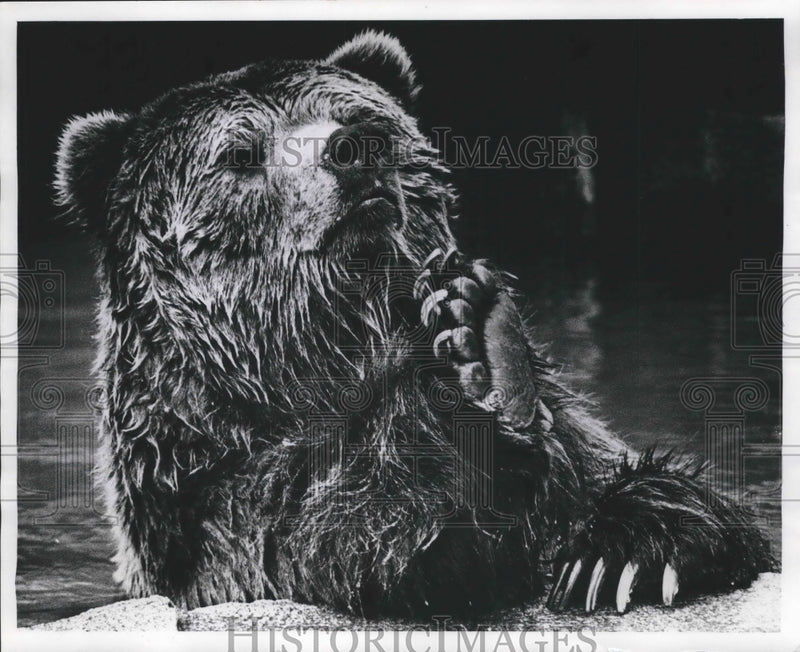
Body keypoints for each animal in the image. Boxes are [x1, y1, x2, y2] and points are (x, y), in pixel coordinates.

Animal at [53, 30, 772, 620]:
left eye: (361, 117)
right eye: (240, 154)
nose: (350, 149)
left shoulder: (574, 443)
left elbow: (641, 490)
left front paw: (622, 556)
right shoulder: (222, 509)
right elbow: (376, 541)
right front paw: (475, 364)